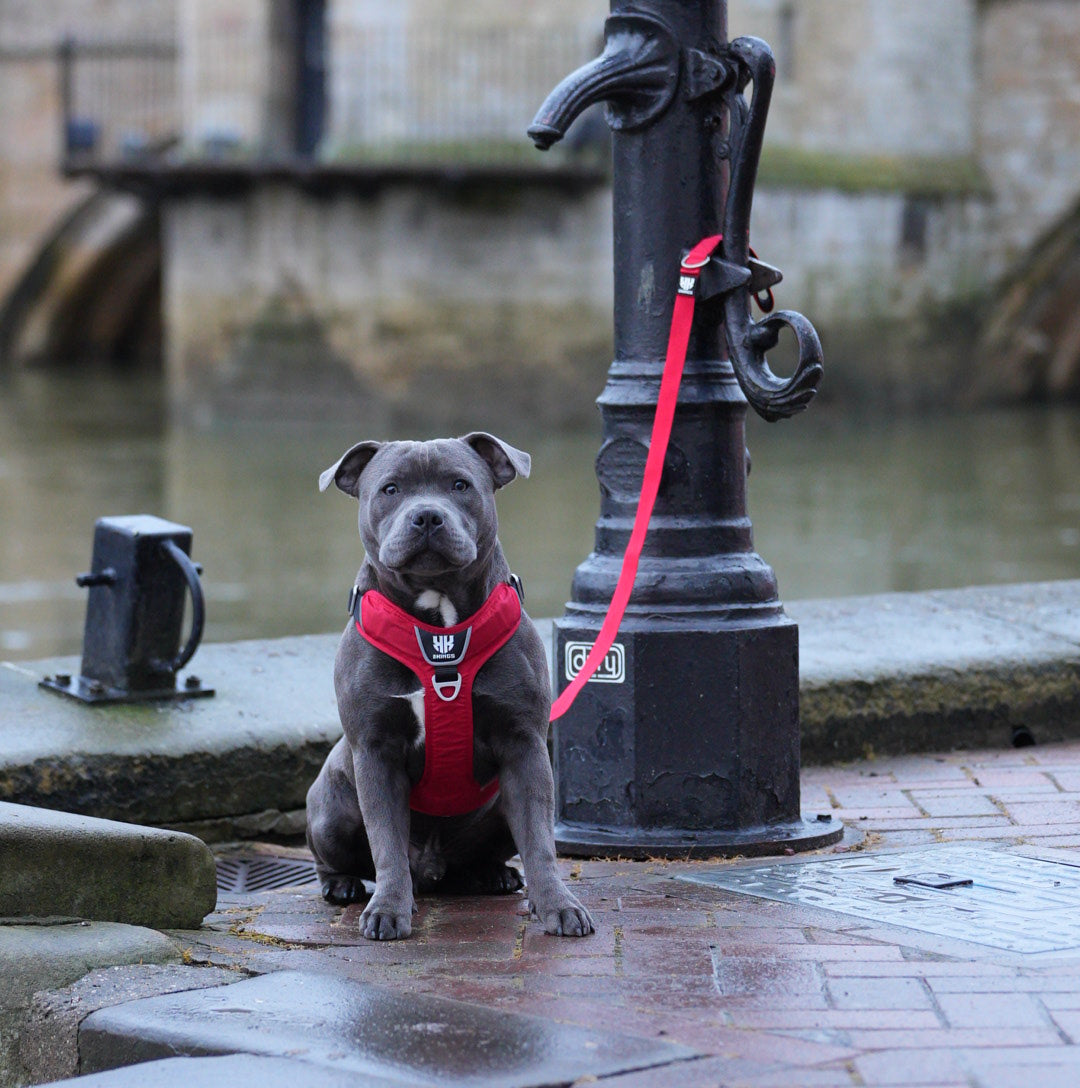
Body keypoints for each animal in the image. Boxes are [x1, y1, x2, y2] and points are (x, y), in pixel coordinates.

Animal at [304, 428, 596, 940]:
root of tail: (432, 868)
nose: (427, 515)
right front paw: (388, 910)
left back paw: (493, 875)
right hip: (331, 808)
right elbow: (386, 843)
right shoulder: (375, 751)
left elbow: (541, 841)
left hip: (498, 809)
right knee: (333, 855)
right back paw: (342, 885)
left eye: (460, 485)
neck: (440, 627)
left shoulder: (524, 746)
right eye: (391, 489)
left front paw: (559, 906)